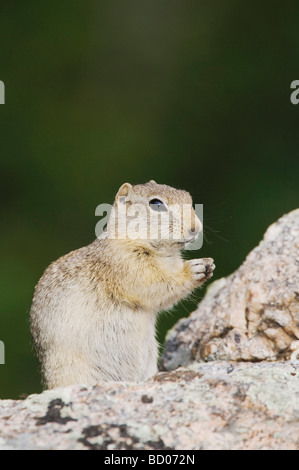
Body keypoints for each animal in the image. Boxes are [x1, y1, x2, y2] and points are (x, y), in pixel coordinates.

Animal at [30, 181, 216, 390]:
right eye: (156, 204)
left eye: (188, 198)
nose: (195, 227)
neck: (163, 254)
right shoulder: (129, 266)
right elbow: (156, 284)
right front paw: (195, 268)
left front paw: (209, 264)